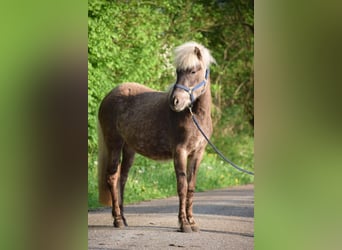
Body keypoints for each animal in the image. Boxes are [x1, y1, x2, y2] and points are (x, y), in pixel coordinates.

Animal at [97, 41, 215, 232]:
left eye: (193, 71)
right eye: (178, 72)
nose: (175, 101)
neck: (193, 116)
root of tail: (109, 96)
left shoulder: (197, 153)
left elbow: (191, 187)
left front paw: (192, 222)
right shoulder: (180, 152)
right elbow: (182, 186)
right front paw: (184, 223)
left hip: (129, 149)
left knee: (122, 179)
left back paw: (124, 218)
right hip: (114, 144)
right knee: (112, 177)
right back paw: (118, 220)